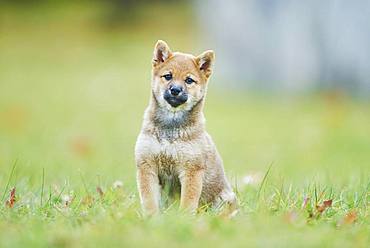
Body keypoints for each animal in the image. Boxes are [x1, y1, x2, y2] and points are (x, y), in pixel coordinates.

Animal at [136, 40, 237, 215]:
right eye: (168, 76)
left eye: (189, 80)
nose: (175, 90)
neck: (170, 130)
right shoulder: (146, 166)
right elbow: (149, 201)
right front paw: (151, 218)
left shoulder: (191, 170)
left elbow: (188, 203)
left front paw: (183, 219)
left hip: (224, 200)